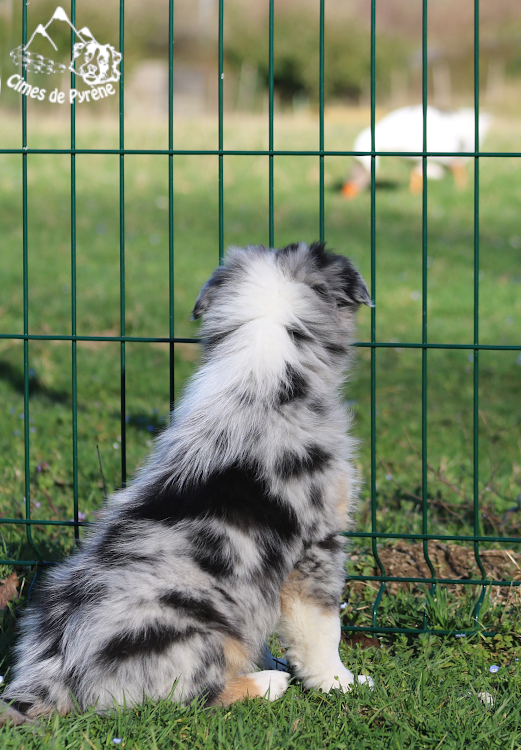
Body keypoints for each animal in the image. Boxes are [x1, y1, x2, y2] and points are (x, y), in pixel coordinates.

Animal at [0, 241, 373, 726]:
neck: (266, 359)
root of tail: (51, 675)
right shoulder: (316, 545)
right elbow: (322, 628)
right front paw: (339, 683)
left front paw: (270, 658)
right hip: (185, 628)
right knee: (181, 699)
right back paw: (266, 684)